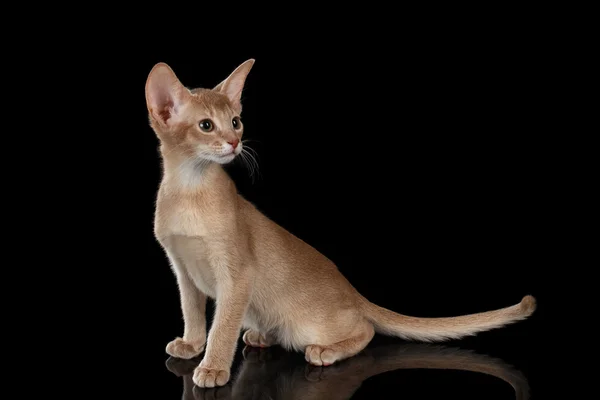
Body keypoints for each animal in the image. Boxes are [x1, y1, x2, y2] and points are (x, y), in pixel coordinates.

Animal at [143, 58, 536, 388]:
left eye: (236, 122)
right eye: (206, 125)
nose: (234, 141)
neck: (189, 189)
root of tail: (352, 292)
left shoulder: (236, 277)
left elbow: (221, 327)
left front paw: (213, 367)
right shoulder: (182, 269)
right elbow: (193, 313)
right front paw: (192, 345)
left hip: (307, 325)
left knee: (365, 329)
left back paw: (326, 350)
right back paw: (261, 335)